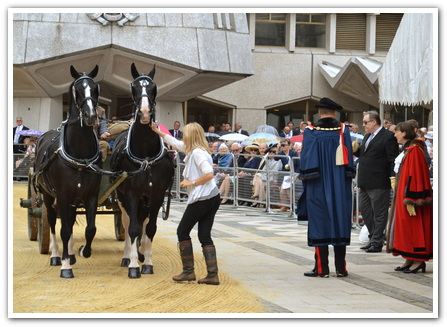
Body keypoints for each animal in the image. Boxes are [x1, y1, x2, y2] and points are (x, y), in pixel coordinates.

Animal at [34, 66, 102, 280]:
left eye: (95, 89)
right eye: (77, 90)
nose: (91, 116)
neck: (80, 155)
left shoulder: (90, 195)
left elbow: (90, 228)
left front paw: (82, 251)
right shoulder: (62, 195)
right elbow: (63, 229)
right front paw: (65, 266)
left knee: (70, 220)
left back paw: (70, 254)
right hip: (48, 196)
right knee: (52, 222)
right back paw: (57, 256)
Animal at [110, 64, 175, 280]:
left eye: (154, 87)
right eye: (133, 87)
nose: (145, 113)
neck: (145, 154)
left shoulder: (156, 195)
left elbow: (151, 228)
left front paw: (147, 262)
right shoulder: (131, 194)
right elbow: (132, 228)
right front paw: (132, 265)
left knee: (143, 223)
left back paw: (140, 252)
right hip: (122, 197)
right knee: (128, 221)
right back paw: (127, 256)